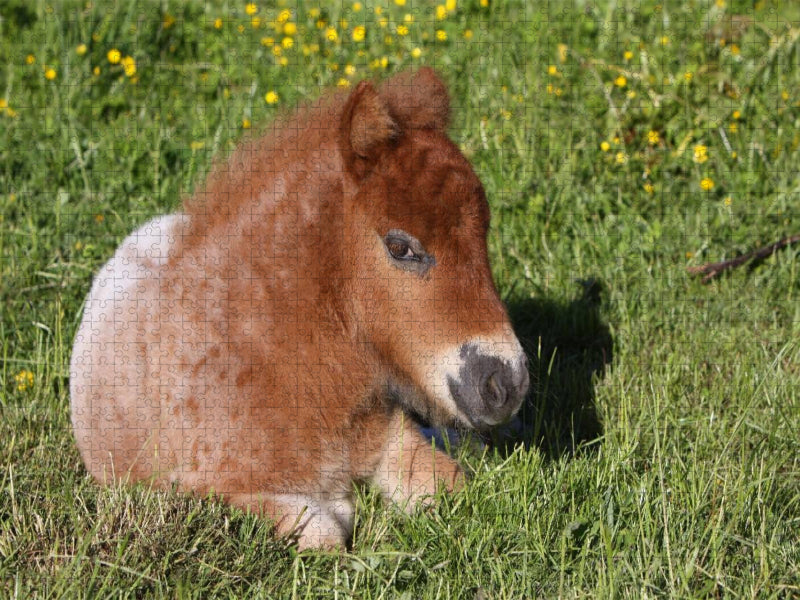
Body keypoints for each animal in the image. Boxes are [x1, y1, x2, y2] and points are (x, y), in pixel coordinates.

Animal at [69, 68, 529, 549]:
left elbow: (448, 485)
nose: (507, 384)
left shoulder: (388, 437)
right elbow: (325, 532)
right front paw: (345, 510)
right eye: (400, 247)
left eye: (484, 233)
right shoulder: (210, 490)